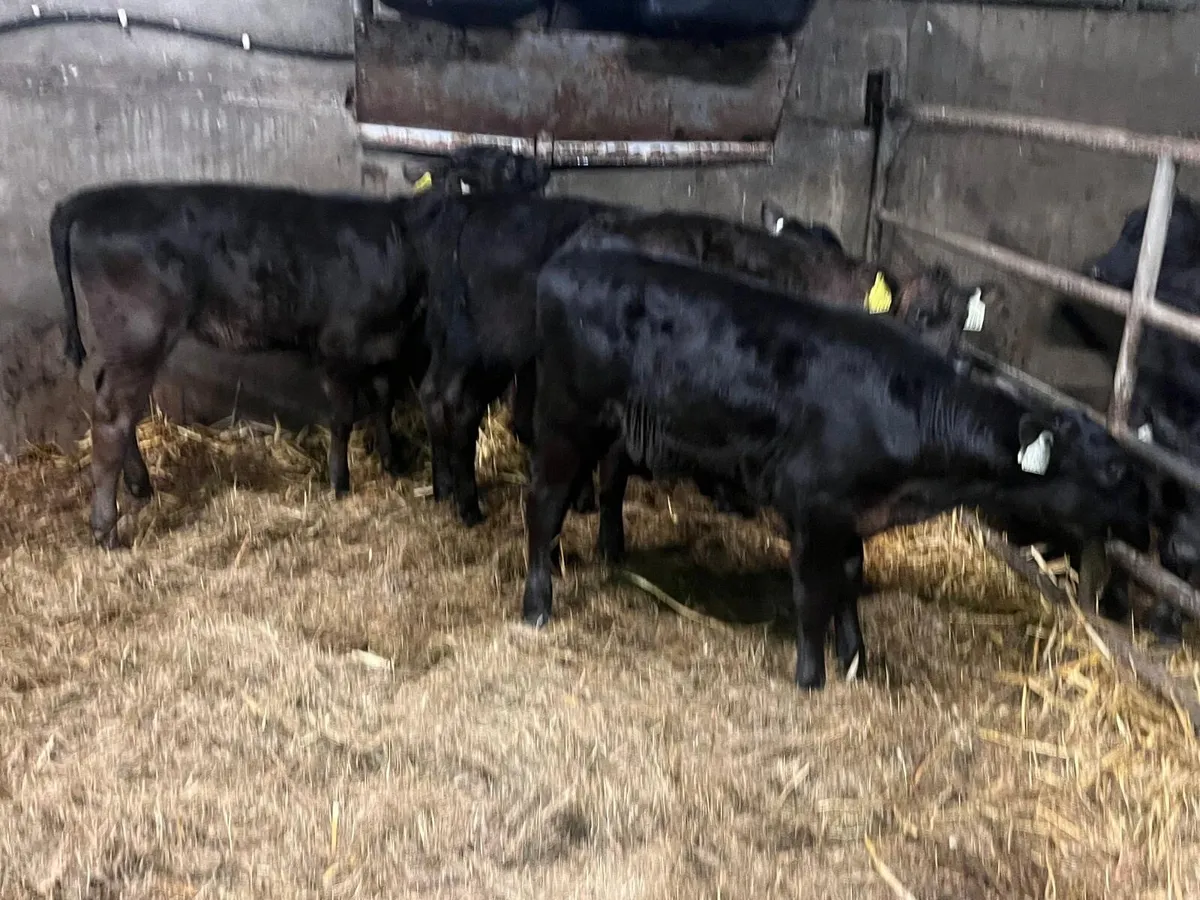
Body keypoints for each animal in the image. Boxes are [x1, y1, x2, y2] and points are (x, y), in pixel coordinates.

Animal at [521, 243, 1153, 690]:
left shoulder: (854, 516)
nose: (1151, 518)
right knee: (544, 505)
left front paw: (856, 660)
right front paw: (811, 675)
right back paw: (537, 605)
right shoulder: (813, 506)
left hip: (610, 429)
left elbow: (850, 582)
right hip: (564, 417)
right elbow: (813, 592)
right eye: (1114, 473)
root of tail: (567, 260)